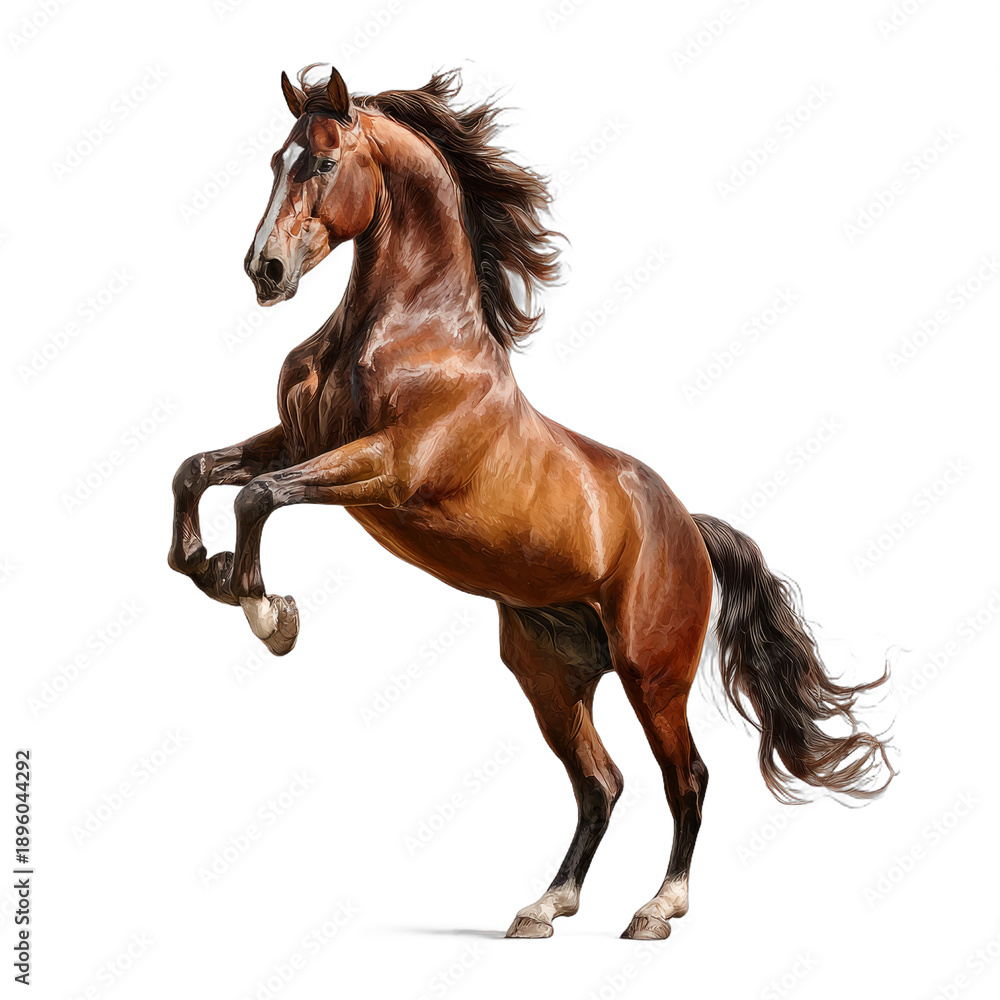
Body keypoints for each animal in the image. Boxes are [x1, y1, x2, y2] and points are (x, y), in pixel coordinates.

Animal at [168, 66, 893, 940]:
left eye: (321, 162)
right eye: (276, 161)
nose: (264, 271)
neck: (409, 331)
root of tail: (689, 527)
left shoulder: (389, 469)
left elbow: (257, 498)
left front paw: (266, 609)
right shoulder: (299, 440)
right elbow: (199, 472)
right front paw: (207, 568)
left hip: (653, 675)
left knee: (686, 777)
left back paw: (657, 909)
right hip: (550, 674)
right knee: (601, 783)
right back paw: (547, 905)